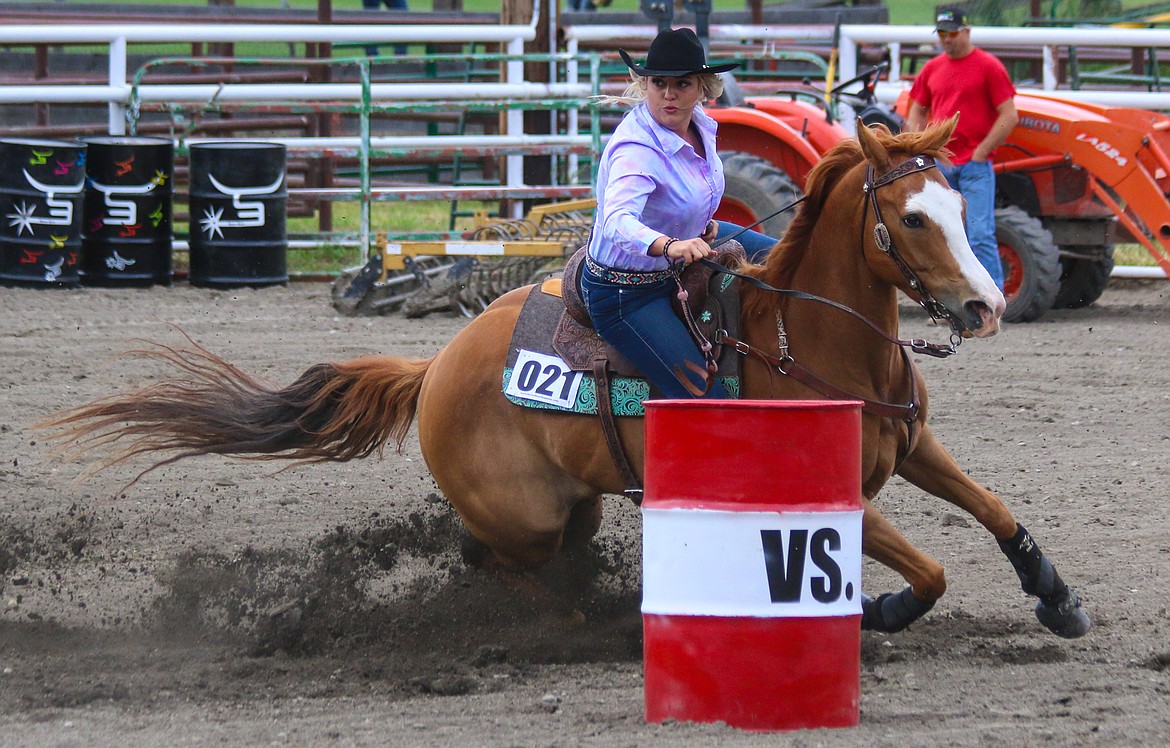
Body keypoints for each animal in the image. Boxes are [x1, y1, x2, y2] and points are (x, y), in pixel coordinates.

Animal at [43, 122, 1085, 636]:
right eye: (910, 219)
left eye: (956, 202)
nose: (986, 304)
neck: (809, 341)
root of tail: (435, 366)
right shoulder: (821, 488)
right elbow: (932, 567)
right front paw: (883, 609)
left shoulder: (912, 442)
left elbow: (994, 510)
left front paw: (1056, 597)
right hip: (529, 518)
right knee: (504, 567)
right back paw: (585, 621)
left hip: (571, 501)